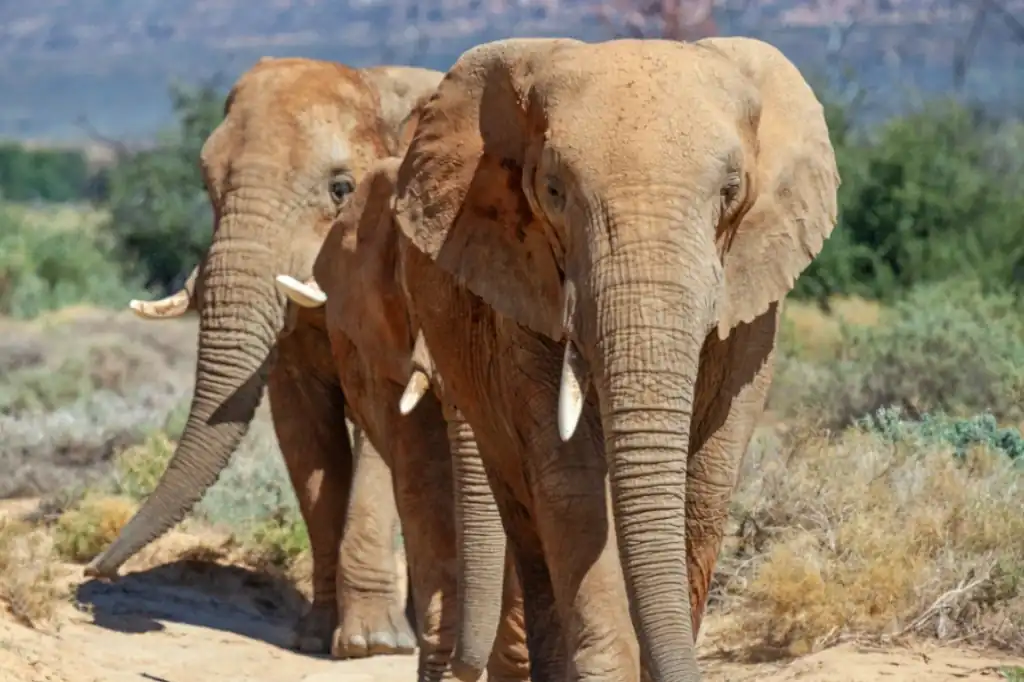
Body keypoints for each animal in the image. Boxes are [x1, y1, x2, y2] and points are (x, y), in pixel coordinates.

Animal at [81, 56, 446, 661]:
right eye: (208, 185)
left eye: (341, 188)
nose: (94, 570)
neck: (374, 84)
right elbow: (305, 437)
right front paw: (315, 637)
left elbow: (382, 428)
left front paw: (371, 646)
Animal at [288, 36, 840, 681]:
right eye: (553, 192)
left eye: (731, 192)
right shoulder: (522, 297)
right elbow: (571, 484)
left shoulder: (752, 302)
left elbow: (704, 488)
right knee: (520, 515)